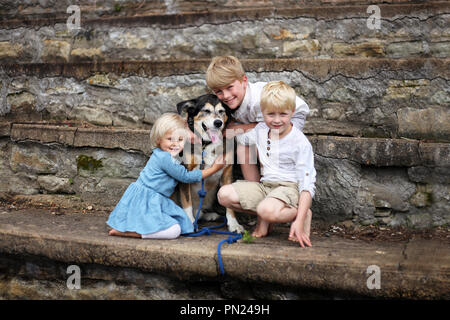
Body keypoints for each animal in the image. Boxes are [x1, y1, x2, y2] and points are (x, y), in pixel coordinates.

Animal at [177, 94, 246, 234]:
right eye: (206, 111)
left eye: (221, 111)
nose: (218, 123)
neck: (207, 144)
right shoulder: (184, 172)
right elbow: (187, 201)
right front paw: (190, 223)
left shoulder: (227, 172)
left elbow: (229, 207)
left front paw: (233, 224)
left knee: (201, 213)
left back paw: (210, 215)